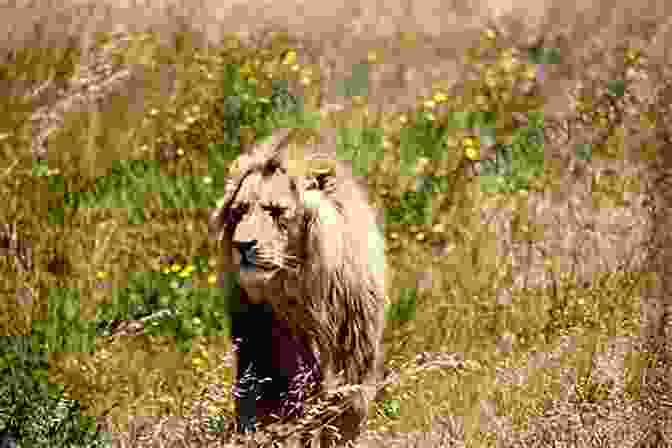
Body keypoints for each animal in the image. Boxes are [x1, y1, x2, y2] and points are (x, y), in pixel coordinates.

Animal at [210, 125, 388, 444]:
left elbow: (344, 419)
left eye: (276, 211)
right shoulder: (260, 359)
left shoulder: (354, 362)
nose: (241, 245)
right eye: (239, 211)